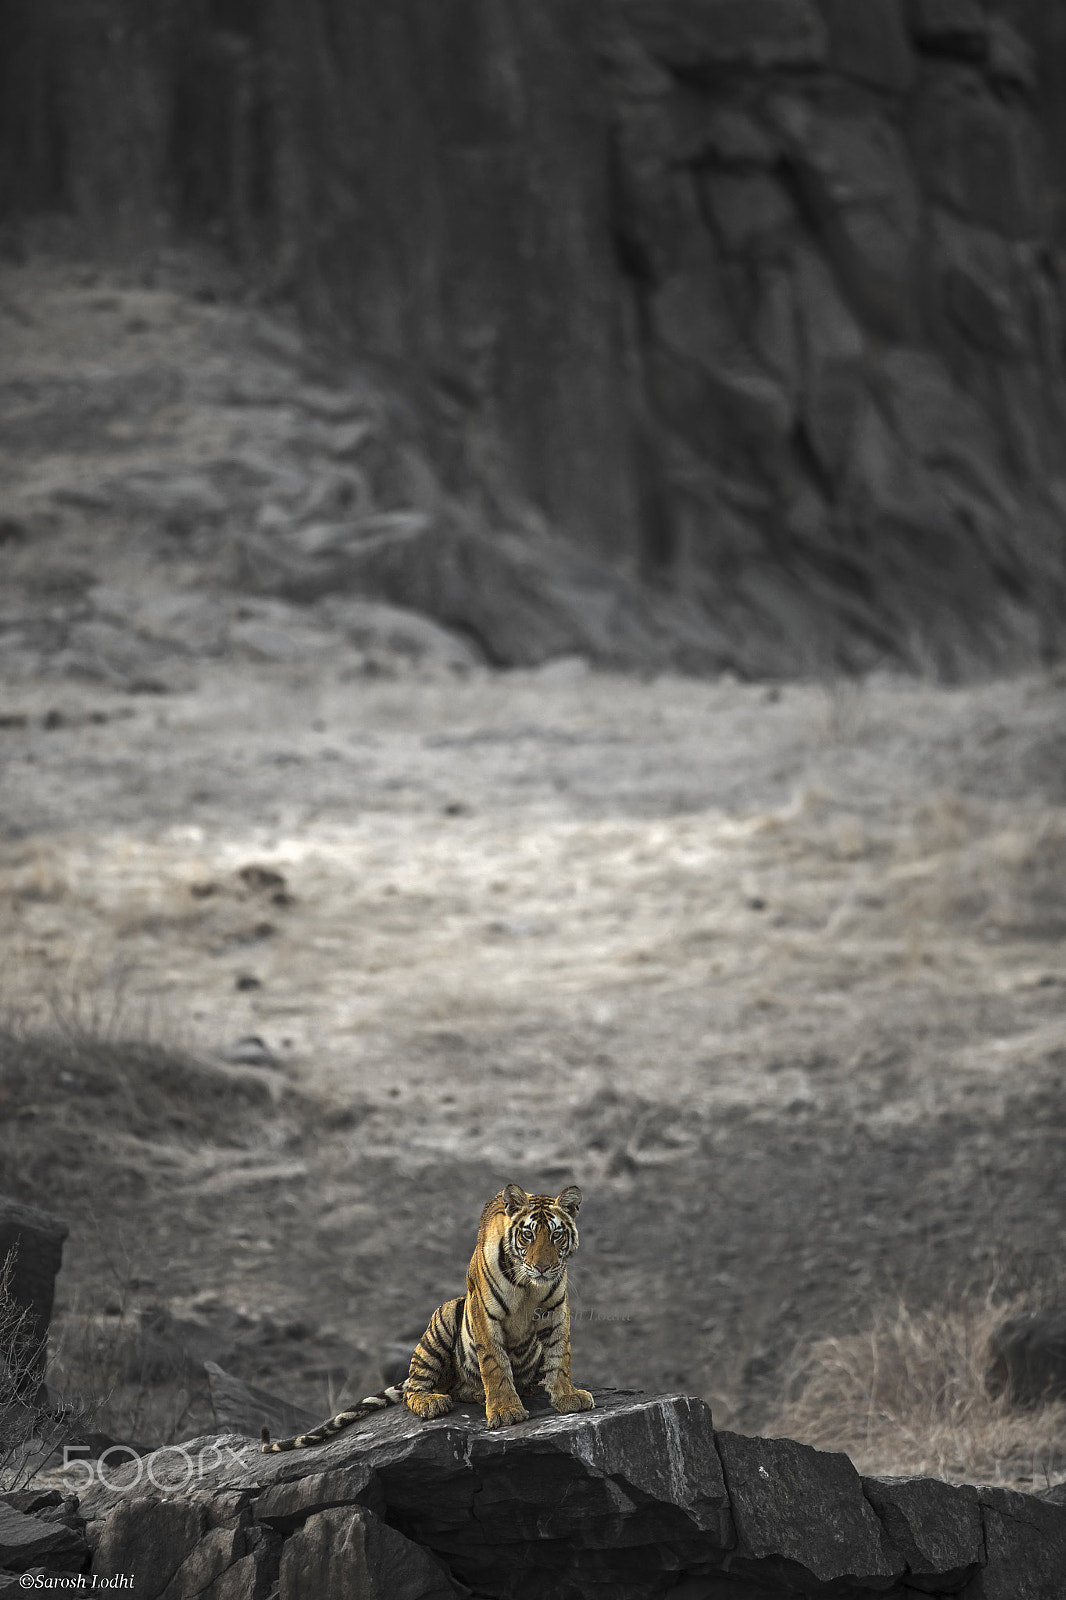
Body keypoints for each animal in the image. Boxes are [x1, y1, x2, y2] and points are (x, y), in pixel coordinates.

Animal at [257, 1184, 589, 1459]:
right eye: (528, 1235)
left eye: (556, 1235)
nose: (542, 1267)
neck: (528, 1286)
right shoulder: (484, 1312)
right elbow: (494, 1364)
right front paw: (506, 1410)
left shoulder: (556, 1310)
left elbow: (561, 1356)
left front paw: (568, 1397)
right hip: (444, 1318)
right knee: (417, 1390)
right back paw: (438, 1401)